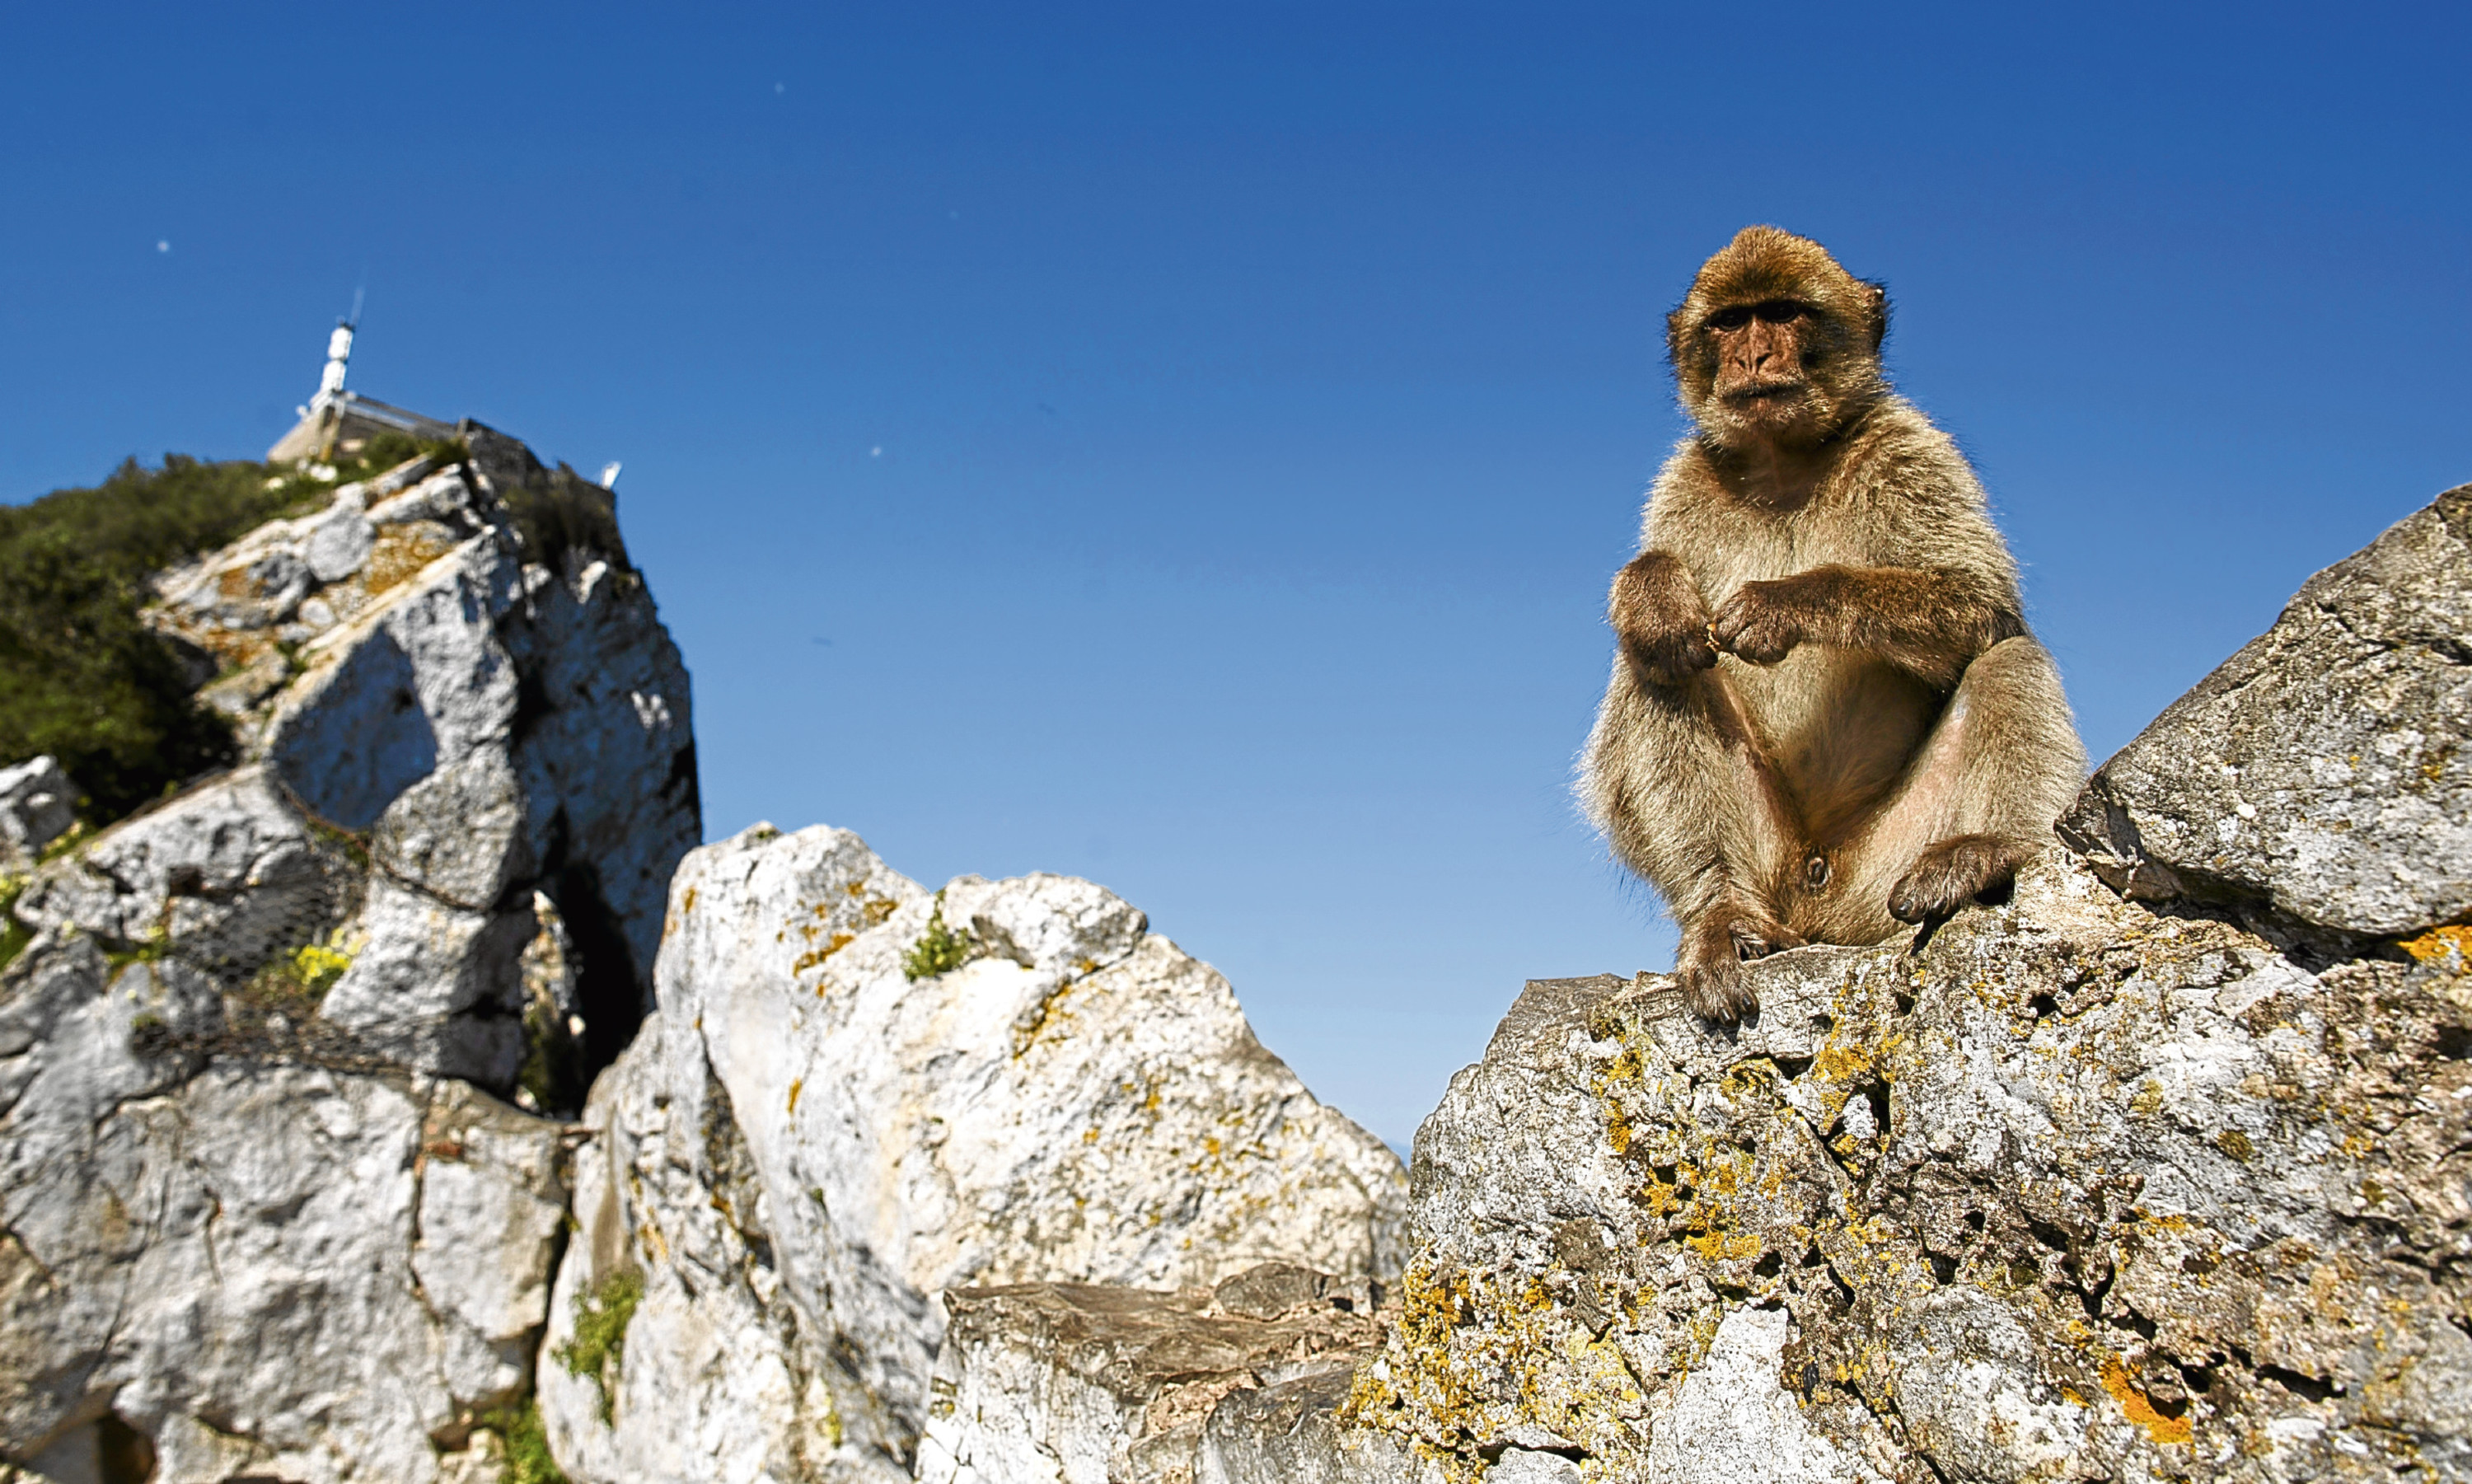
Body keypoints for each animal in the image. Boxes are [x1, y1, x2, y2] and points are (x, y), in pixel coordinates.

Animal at [1582, 228, 2086, 1018]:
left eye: (1785, 313)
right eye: (1730, 322)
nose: (1754, 358)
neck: (1784, 460)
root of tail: (1814, 901)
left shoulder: (1910, 444)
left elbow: (1979, 601)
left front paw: (1784, 603)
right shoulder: (1686, 476)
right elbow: (1665, 615)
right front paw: (1654, 592)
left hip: (1880, 874)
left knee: (2008, 655)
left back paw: (1985, 850)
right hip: (1774, 864)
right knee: (1656, 667)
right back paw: (1722, 912)